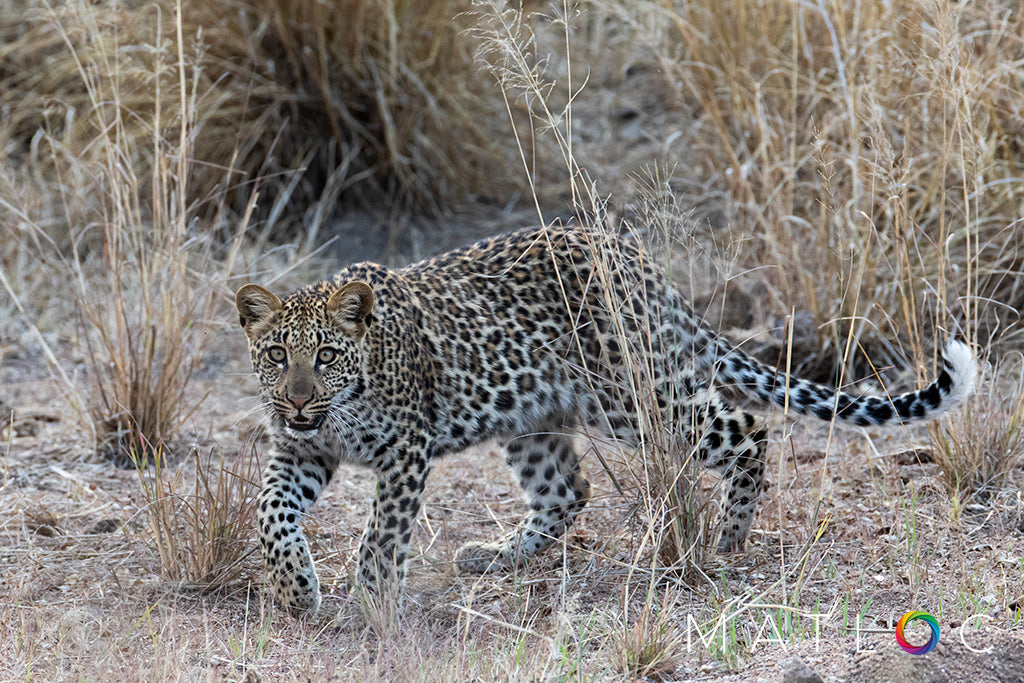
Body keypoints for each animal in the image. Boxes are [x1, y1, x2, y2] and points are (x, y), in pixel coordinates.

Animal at [234, 224, 974, 614]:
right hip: (532, 416)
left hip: (634, 398)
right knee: (567, 490)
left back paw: (729, 538)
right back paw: (496, 555)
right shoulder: (301, 452)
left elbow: (384, 533)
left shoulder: (404, 449)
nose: (296, 402)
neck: (338, 407)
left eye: (327, 356)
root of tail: (632, 257)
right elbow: (270, 511)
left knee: (748, 431)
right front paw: (295, 589)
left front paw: (371, 596)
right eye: (276, 356)